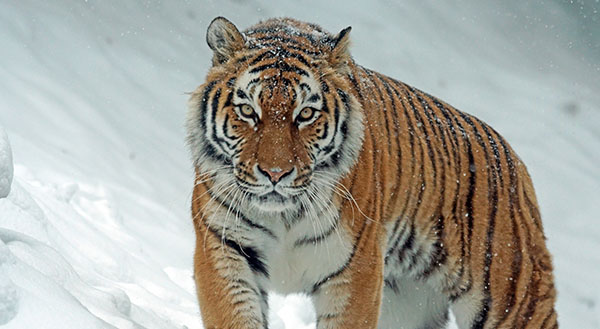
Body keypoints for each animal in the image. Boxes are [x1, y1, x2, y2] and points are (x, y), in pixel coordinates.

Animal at [186, 16, 556, 326]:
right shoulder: (224, 249)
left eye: (305, 114)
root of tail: (516, 163)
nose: (275, 174)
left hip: (514, 301)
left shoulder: (356, 271)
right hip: (407, 305)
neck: (284, 217)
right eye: (248, 110)